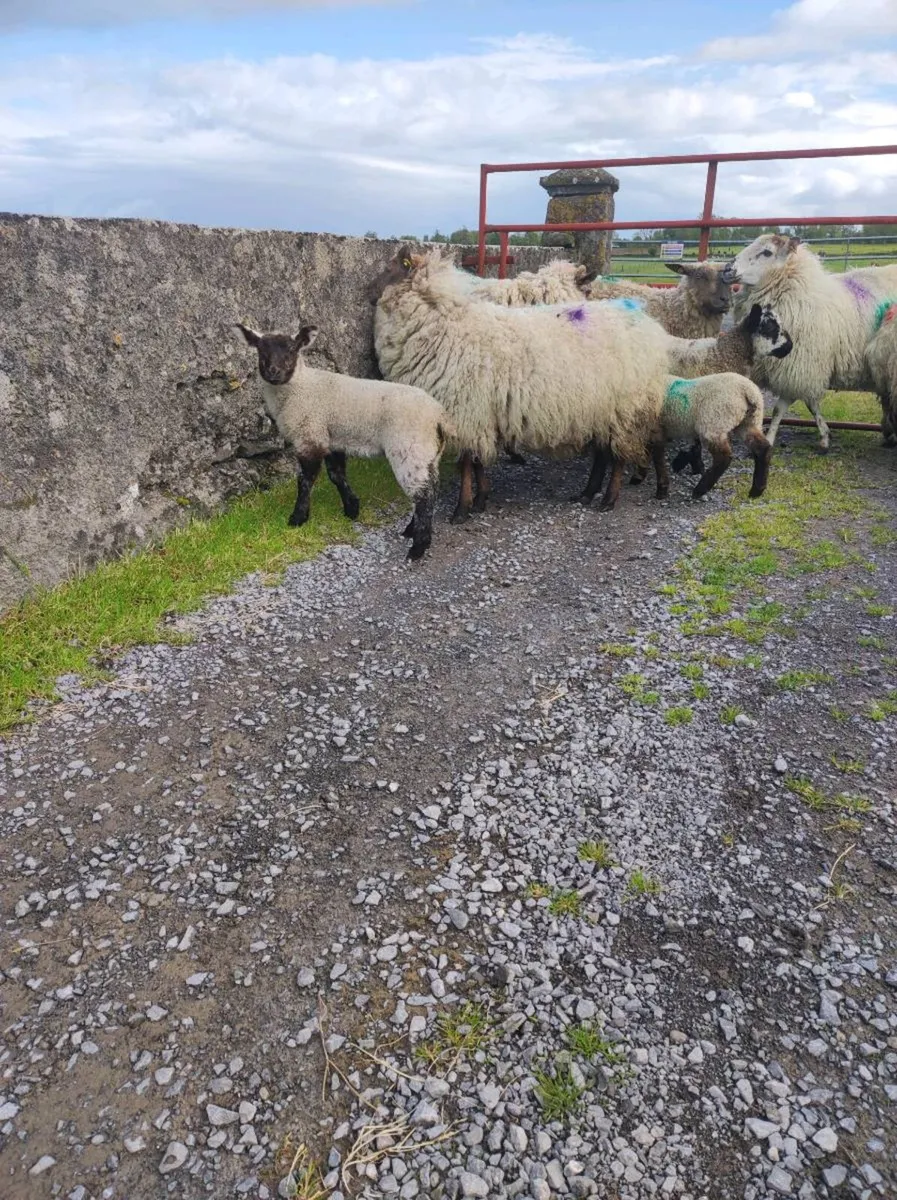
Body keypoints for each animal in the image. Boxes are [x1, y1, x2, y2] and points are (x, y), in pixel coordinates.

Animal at [236, 322, 451, 561]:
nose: (274, 372)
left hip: (409, 449)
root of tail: (438, 416)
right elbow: (337, 476)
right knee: (431, 489)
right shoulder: (332, 440)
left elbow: (304, 481)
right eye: (261, 350)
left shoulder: (310, 435)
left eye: (292, 350)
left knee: (423, 495)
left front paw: (298, 518)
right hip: (429, 453)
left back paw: (418, 547)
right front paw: (352, 509)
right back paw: (412, 531)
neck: (299, 387)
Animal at [367, 245, 673, 520]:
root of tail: (648, 325)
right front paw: (481, 499)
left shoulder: (467, 411)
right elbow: (477, 462)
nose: (368, 293)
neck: (442, 325)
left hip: (626, 408)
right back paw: (587, 493)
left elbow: (466, 463)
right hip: (601, 408)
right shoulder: (481, 414)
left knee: (618, 455)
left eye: (390, 268)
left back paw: (609, 498)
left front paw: (462, 509)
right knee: (603, 454)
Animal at [730, 233, 897, 452]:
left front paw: (771, 437)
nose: (727, 269)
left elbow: (780, 409)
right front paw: (825, 435)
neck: (797, 291)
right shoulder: (805, 368)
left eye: (767, 252)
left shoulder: (800, 365)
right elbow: (811, 404)